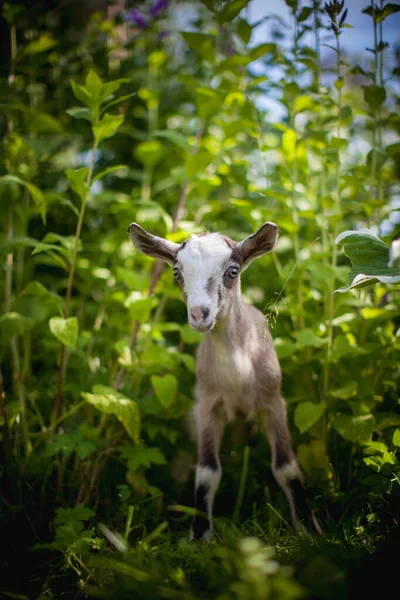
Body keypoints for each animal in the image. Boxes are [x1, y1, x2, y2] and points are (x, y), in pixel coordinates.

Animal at [128, 220, 318, 540]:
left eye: (233, 270)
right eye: (176, 272)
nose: (198, 314)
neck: (238, 372)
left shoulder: (273, 401)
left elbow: (287, 467)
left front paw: (309, 527)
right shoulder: (208, 407)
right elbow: (207, 472)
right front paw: (200, 534)